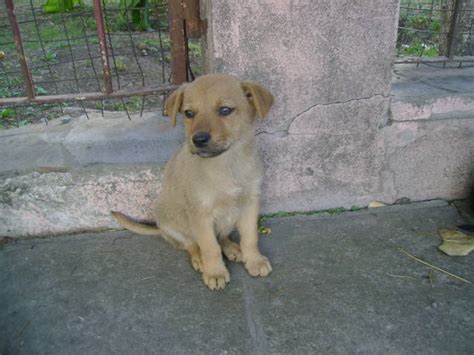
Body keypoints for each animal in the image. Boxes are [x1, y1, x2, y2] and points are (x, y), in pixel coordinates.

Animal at [112, 73, 274, 290]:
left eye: (225, 110)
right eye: (189, 113)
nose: (198, 139)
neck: (227, 163)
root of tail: (160, 229)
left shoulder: (250, 202)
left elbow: (250, 237)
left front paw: (254, 260)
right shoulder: (200, 212)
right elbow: (209, 246)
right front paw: (215, 272)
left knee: (221, 236)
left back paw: (232, 248)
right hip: (172, 220)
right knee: (190, 244)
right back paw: (200, 260)